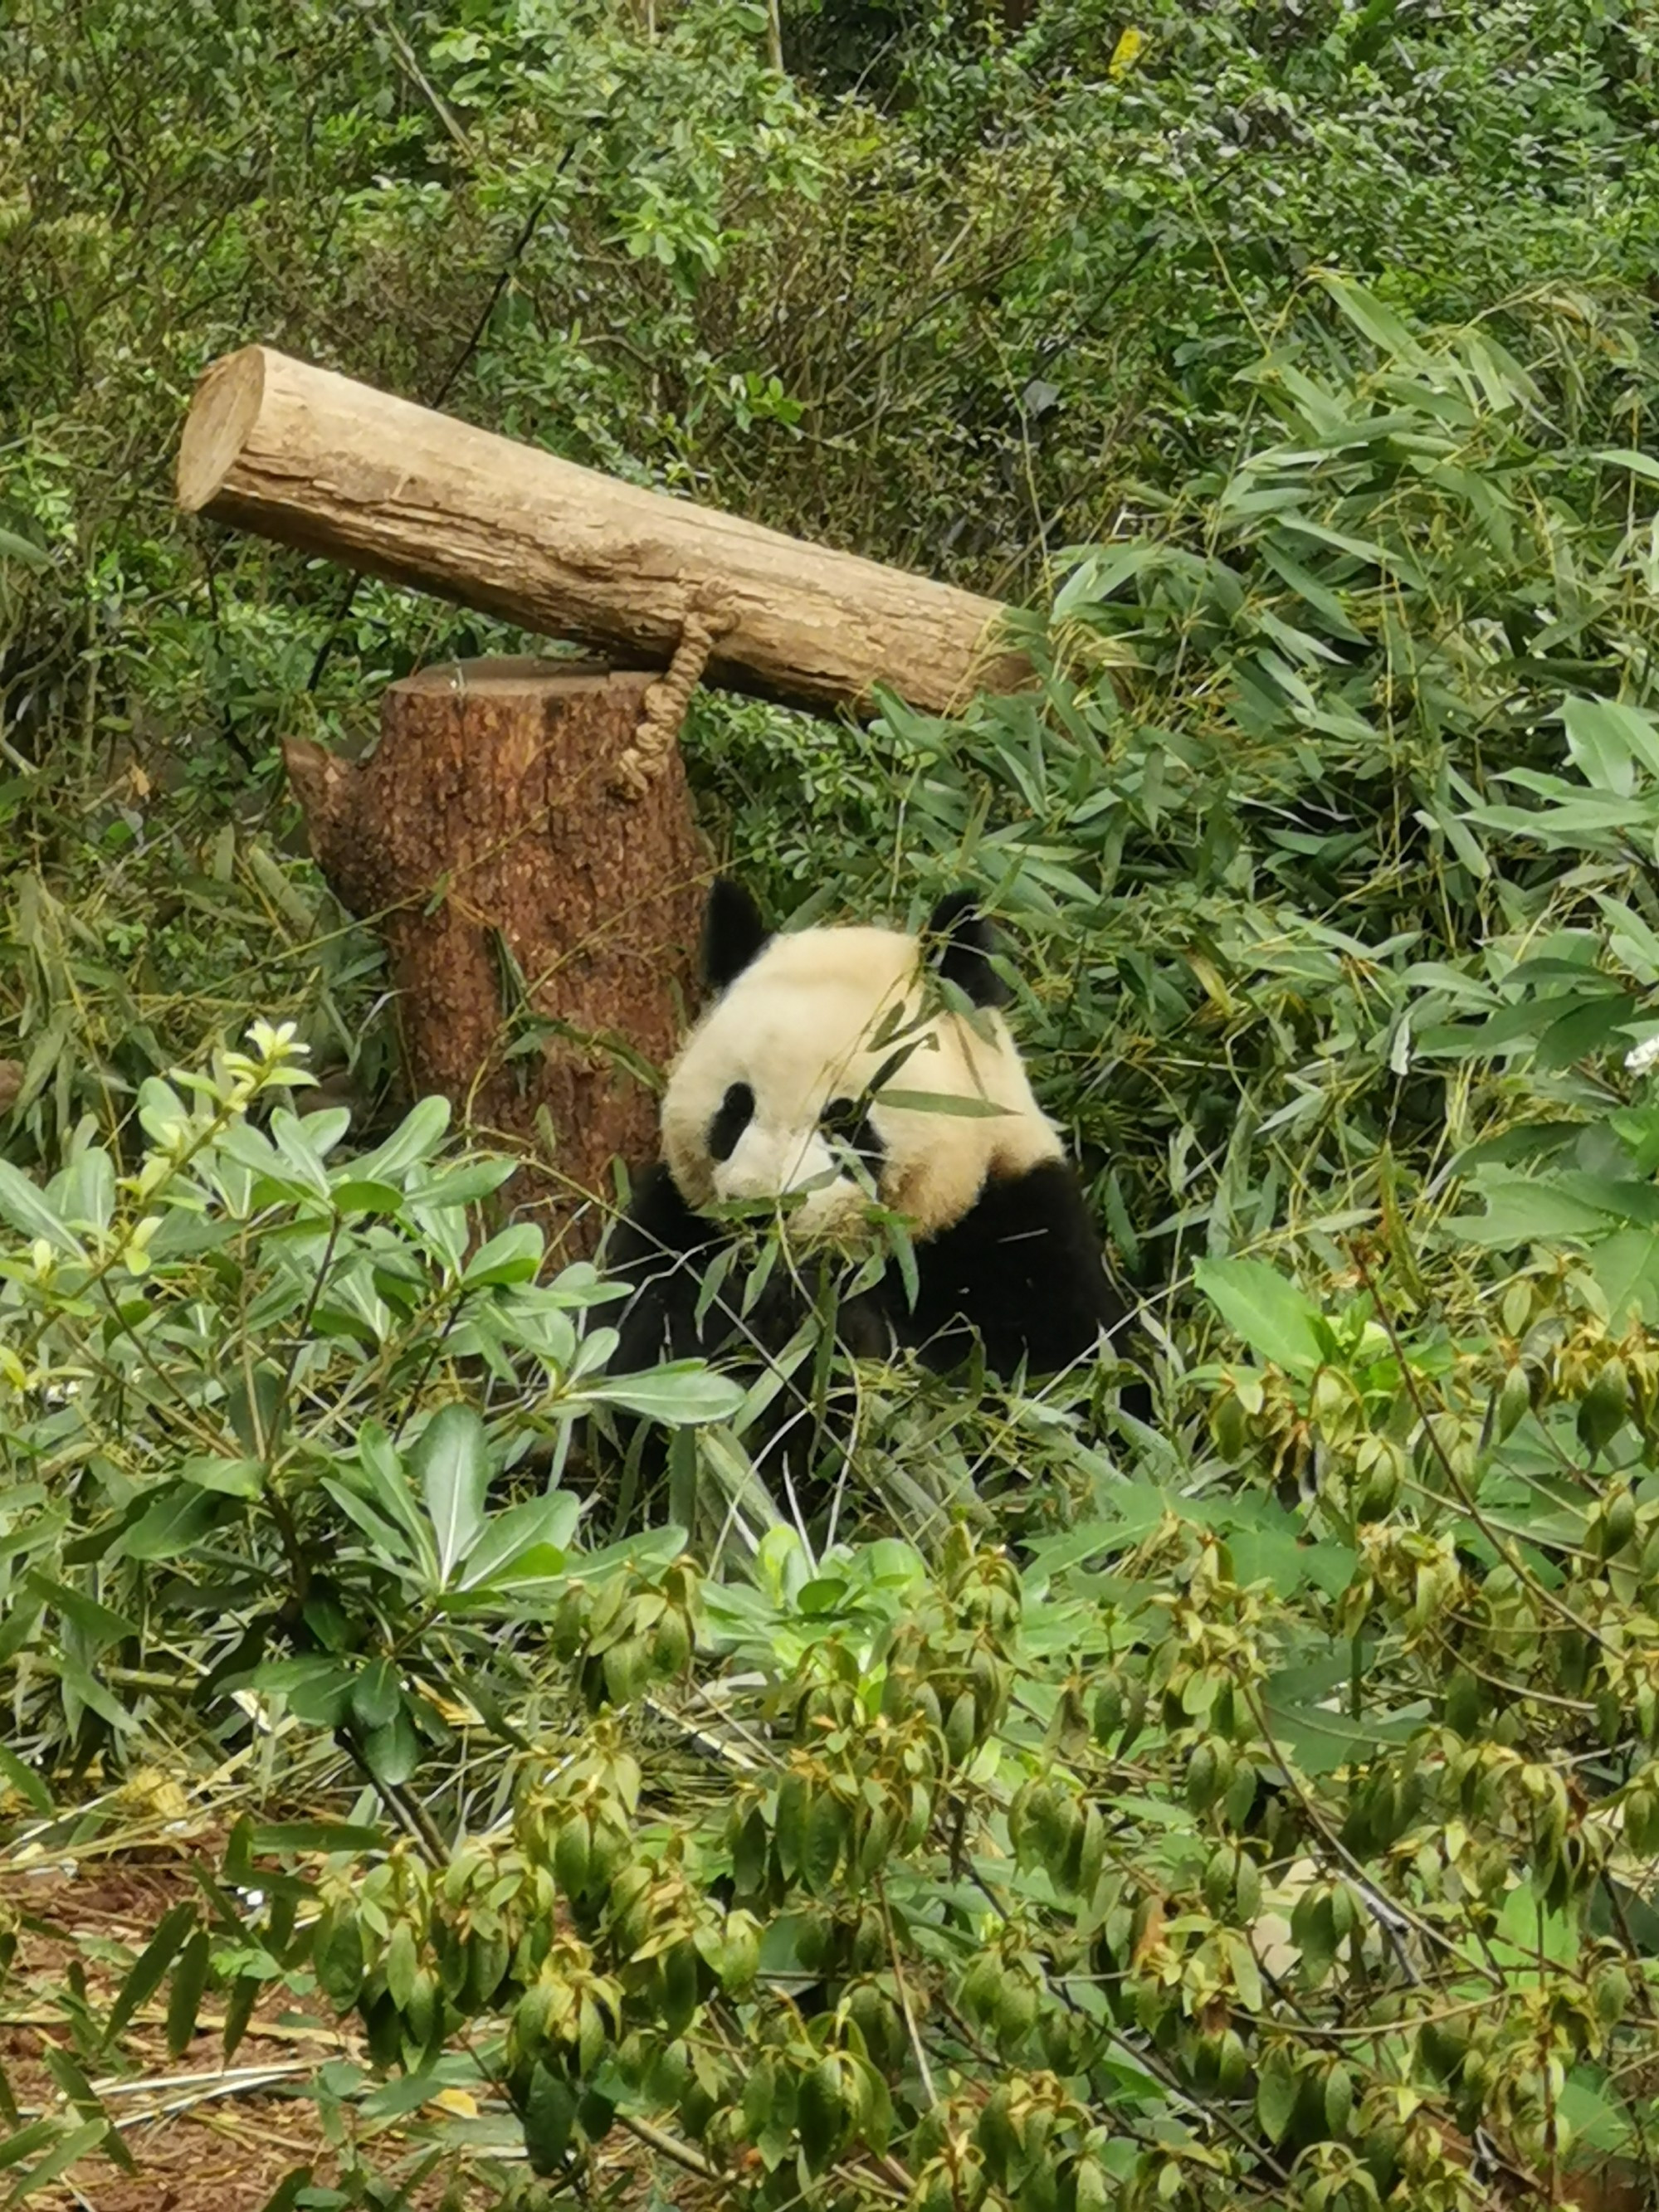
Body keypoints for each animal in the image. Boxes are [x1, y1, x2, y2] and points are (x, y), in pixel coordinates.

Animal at [606, 871, 1123, 1389]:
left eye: (844, 1120)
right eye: (736, 1108)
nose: (762, 1212)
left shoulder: (1022, 1230)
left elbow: (1045, 1373)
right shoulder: (670, 1223)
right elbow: (637, 1346)